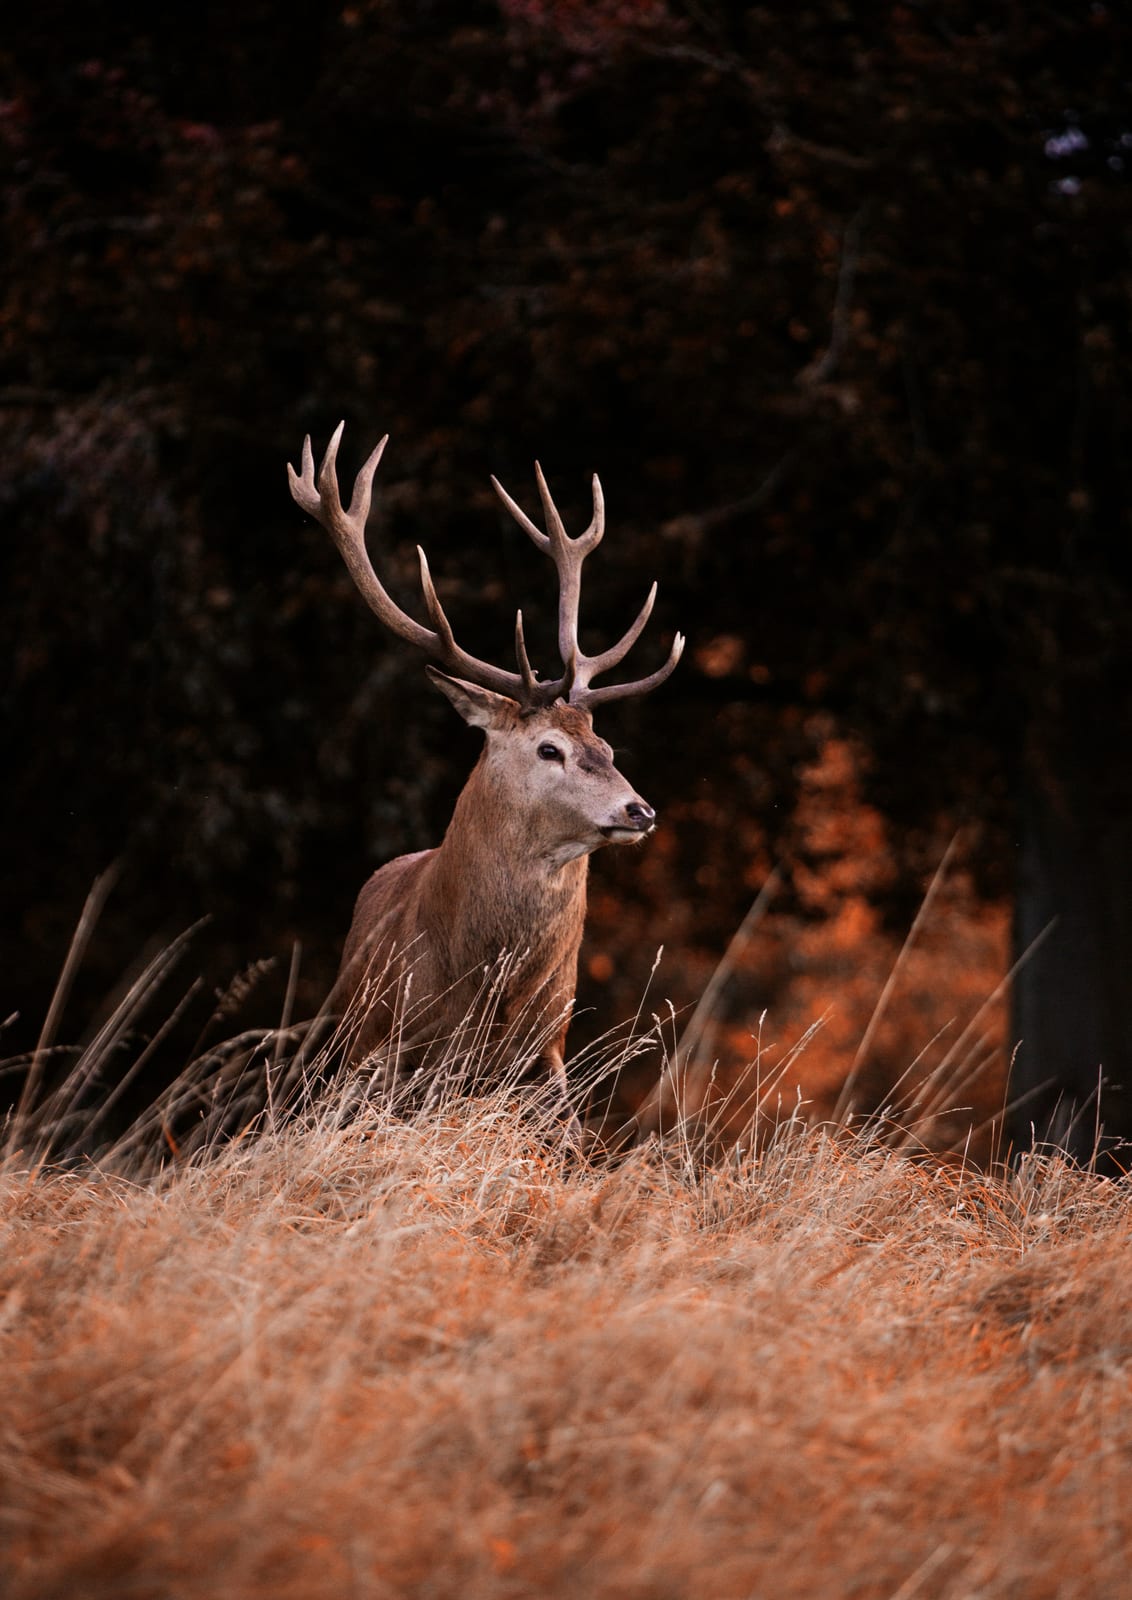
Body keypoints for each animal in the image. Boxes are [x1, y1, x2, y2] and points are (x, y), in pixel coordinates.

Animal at [287, 423, 683, 1138]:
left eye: (607, 746)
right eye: (550, 749)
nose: (639, 810)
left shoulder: (548, 1050)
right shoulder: (392, 1047)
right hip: (345, 1034)